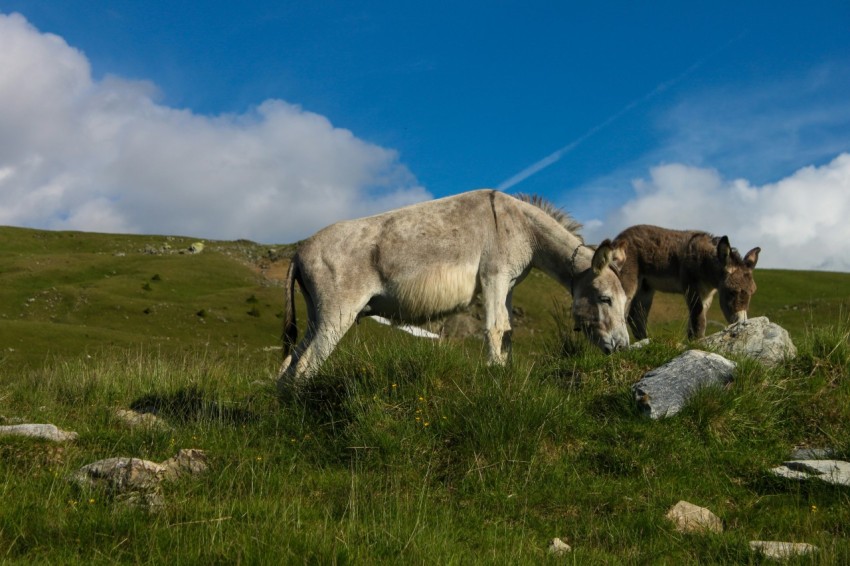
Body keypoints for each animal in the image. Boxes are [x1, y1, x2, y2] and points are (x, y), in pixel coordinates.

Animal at [278, 189, 630, 393]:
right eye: (605, 299)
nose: (623, 347)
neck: (521, 225)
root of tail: (299, 251)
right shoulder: (493, 277)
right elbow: (494, 327)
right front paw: (495, 374)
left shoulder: (508, 284)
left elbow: (508, 330)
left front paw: (506, 370)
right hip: (338, 316)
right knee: (305, 368)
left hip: (316, 318)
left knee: (288, 367)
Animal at [609, 224, 760, 340]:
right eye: (732, 292)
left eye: (752, 292)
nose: (741, 323)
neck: (704, 262)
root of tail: (618, 239)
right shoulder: (691, 287)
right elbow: (698, 318)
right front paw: (698, 342)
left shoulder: (707, 294)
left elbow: (697, 318)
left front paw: (693, 340)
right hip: (627, 281)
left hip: (645, 288)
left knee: (636, 316)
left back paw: (644, 340)